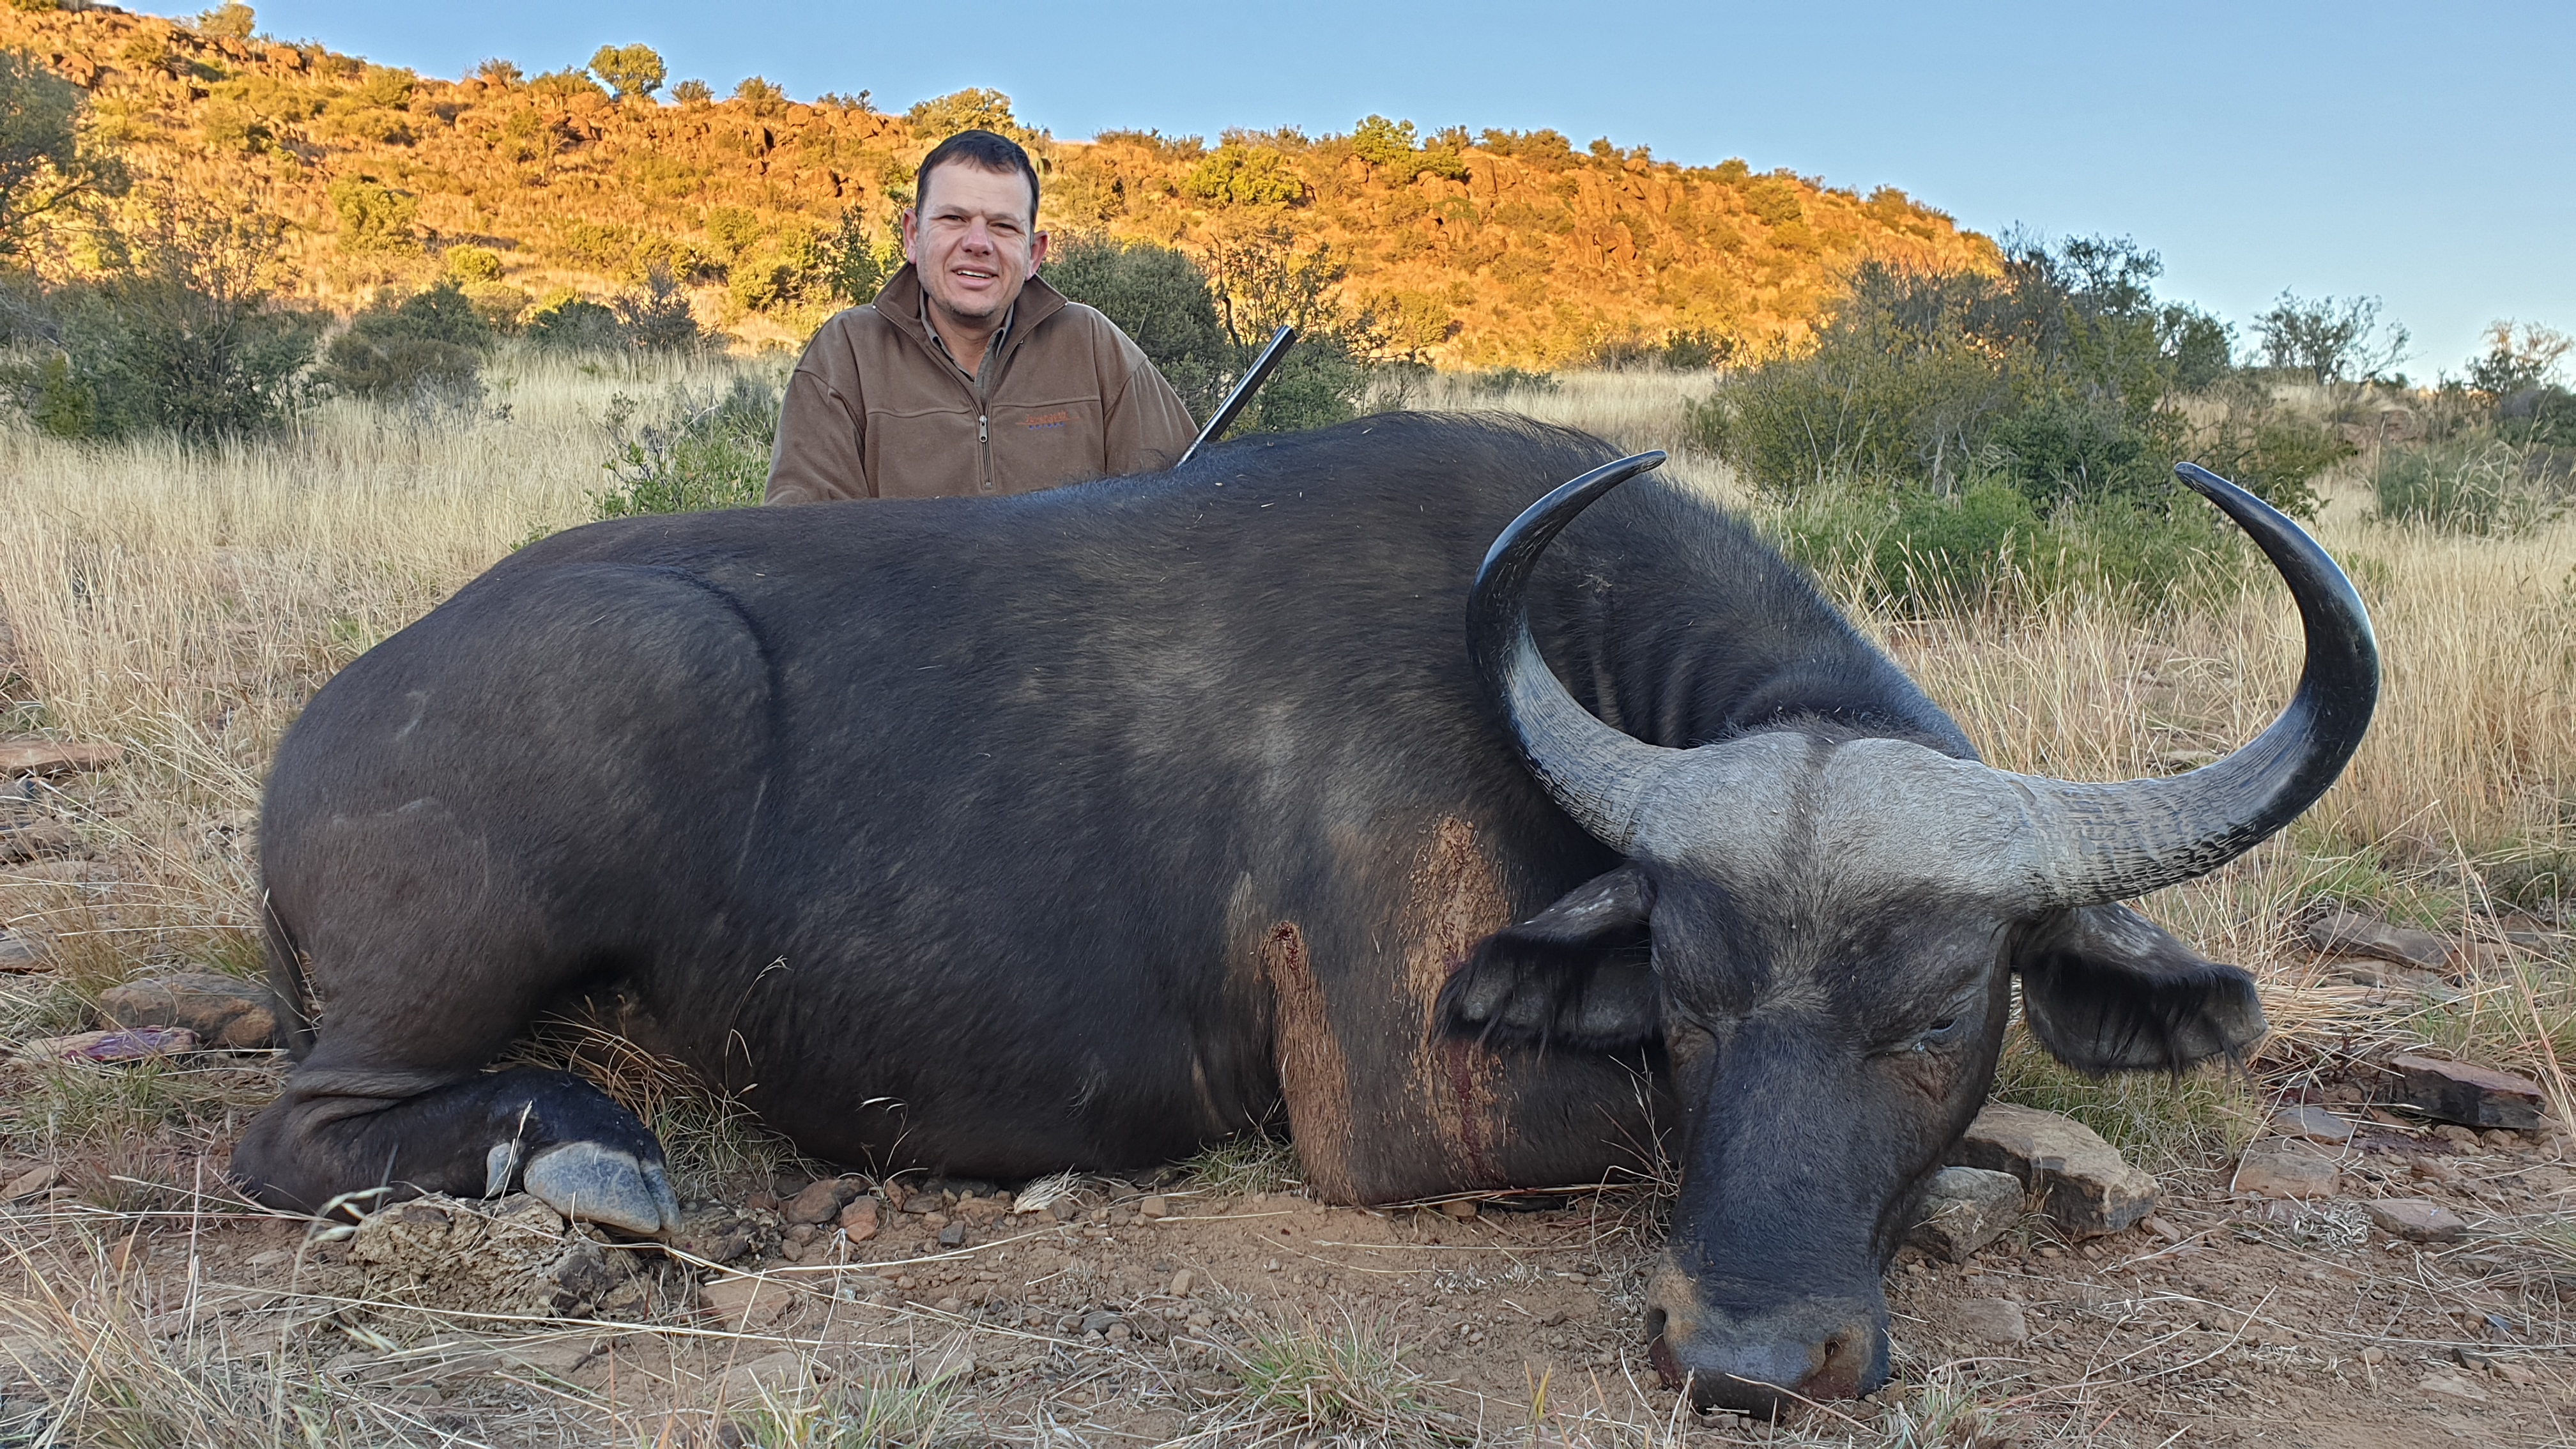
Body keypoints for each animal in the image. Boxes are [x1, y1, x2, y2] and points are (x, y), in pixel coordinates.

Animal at [231, 412, 2359, 1402]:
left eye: (1935, 1010)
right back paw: (586, 1158)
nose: (1746, 1359)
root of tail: (315, 741)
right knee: (302, 1130)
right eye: (1678, 1000)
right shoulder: (1411, 1112)